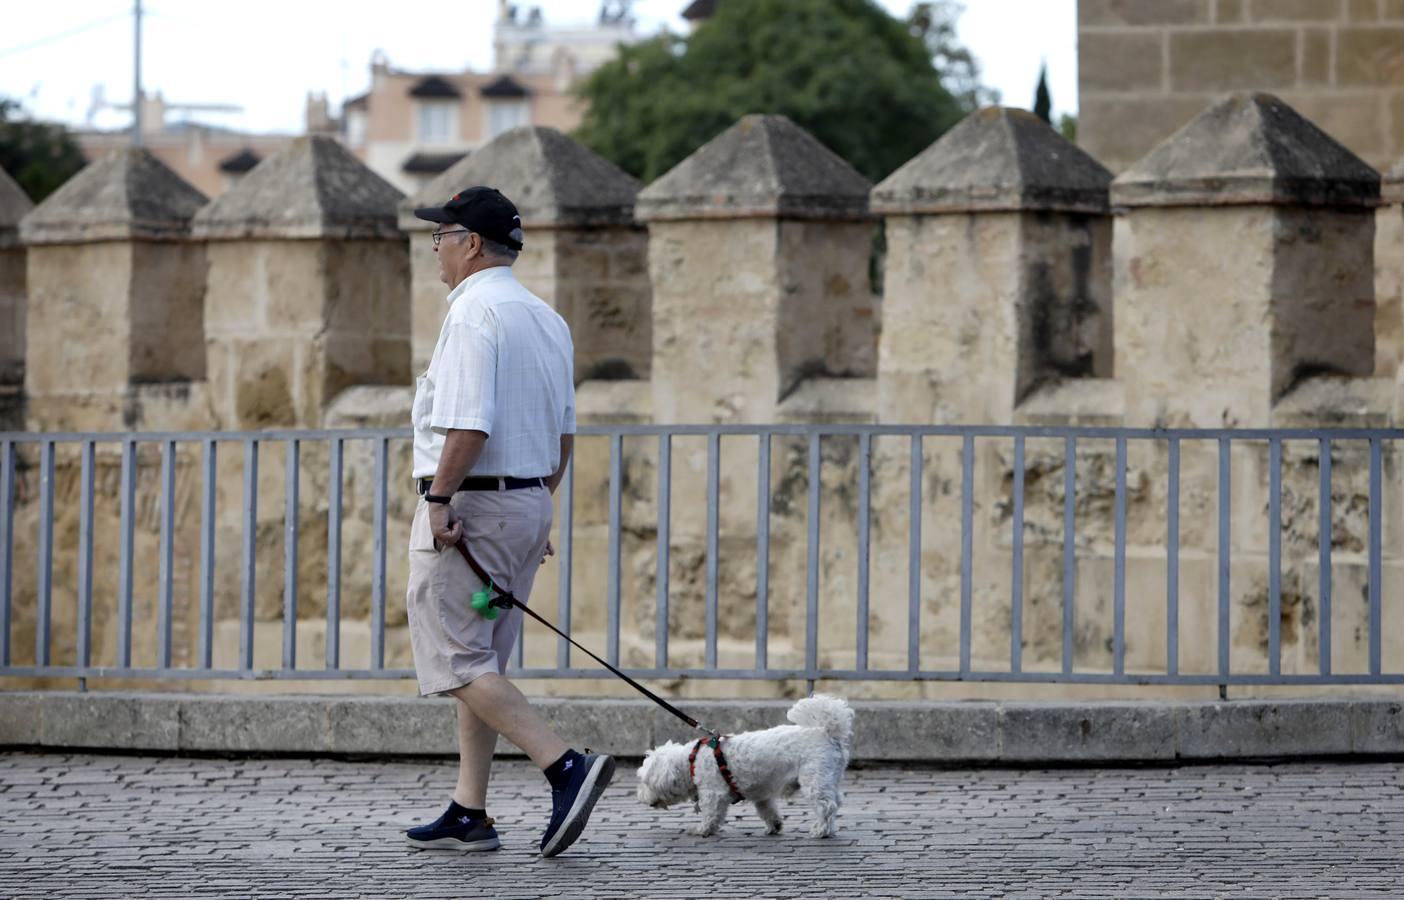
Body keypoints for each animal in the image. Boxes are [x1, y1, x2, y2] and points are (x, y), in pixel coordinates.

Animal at [637, 696, 853, 836]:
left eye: (645, 782)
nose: (640, 798)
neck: (691, 760)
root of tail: (827, 733)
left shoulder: (713, 792)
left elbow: (711, 813)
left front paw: (702, 830)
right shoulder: (762, 795)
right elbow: (768, 811)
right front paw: (775, 826)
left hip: (814, 779)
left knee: (826, 806)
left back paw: (821, 830)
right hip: (828, 778)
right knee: (836, 802)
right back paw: (830, 828)